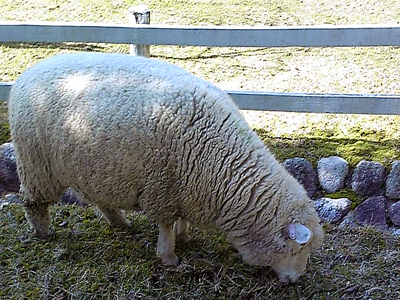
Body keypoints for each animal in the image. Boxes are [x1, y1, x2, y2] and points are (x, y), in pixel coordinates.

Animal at [7, 52, 324, 284]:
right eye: (297, 248)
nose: (295, 281)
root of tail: (30, 71)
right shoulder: (163, 187)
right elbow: (166, 225)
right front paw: (169, 256)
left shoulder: (187, 187)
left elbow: (180, 220)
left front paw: (184, 237)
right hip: (37, 164)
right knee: (32, 201)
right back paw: (42, 231)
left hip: (93, 169)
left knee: (99, 198)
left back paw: (119, 222)